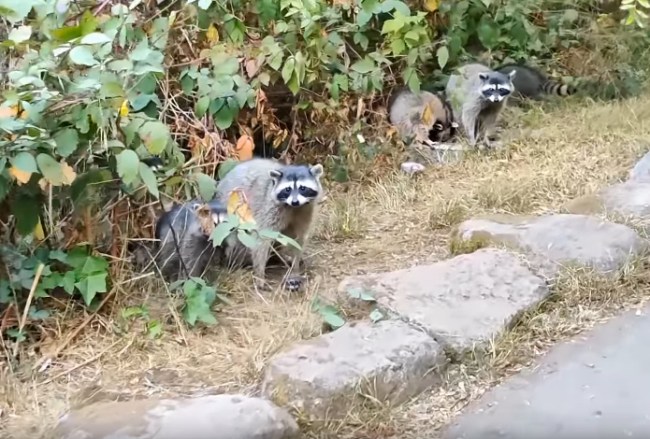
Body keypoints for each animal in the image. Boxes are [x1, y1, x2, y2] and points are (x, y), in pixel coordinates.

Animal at [215, 158, 324, 290]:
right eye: (287, 189)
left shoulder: (305, 210)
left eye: (303, 188)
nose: (295, 201)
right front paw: (259, 274)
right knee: (236, 241)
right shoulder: (269, 208)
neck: (293, 208)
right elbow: (261, 239)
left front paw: (295, 266)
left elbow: (298, 239)